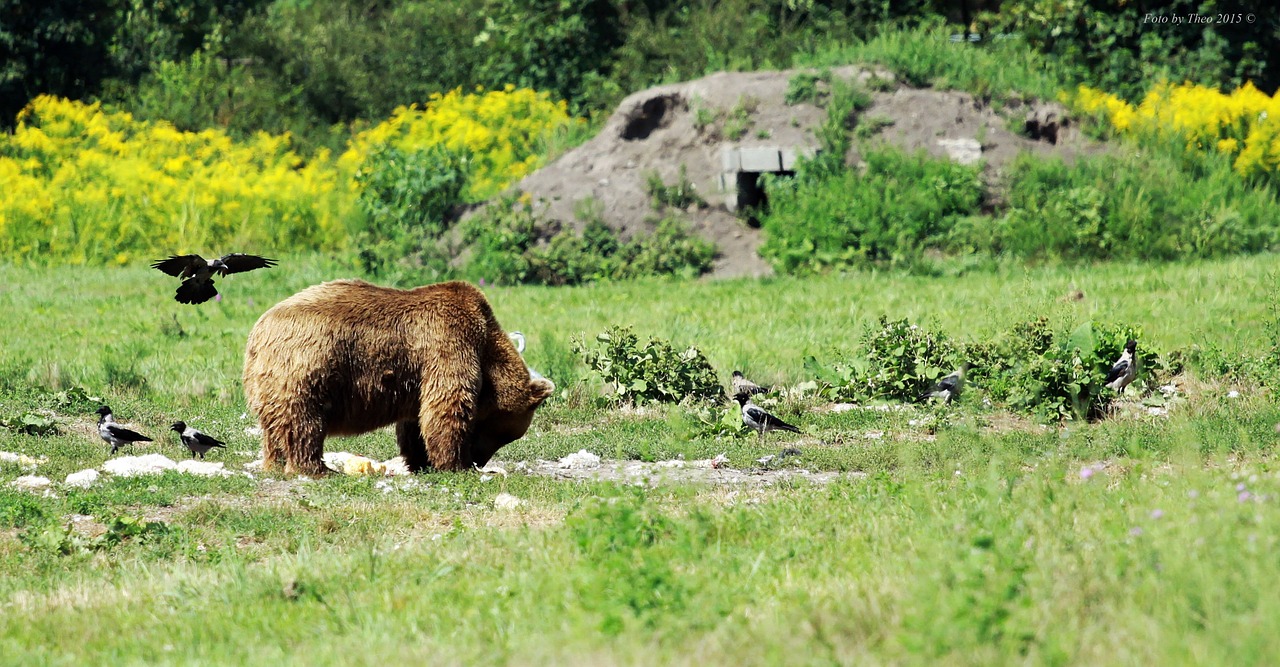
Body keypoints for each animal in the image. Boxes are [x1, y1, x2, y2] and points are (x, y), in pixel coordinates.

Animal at [244, 277, 555, 476]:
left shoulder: (419, 374)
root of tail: (259, 331)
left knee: (275, 425)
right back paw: (318, 468)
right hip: (308, 363)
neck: (487, 346)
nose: (479, 460)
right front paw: (455, 465)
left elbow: (416, 421)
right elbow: (447, 406)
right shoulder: (450, 343)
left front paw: (422, 461)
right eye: (505, 433)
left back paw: (275, 463)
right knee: (304, 420)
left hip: (268, 382)